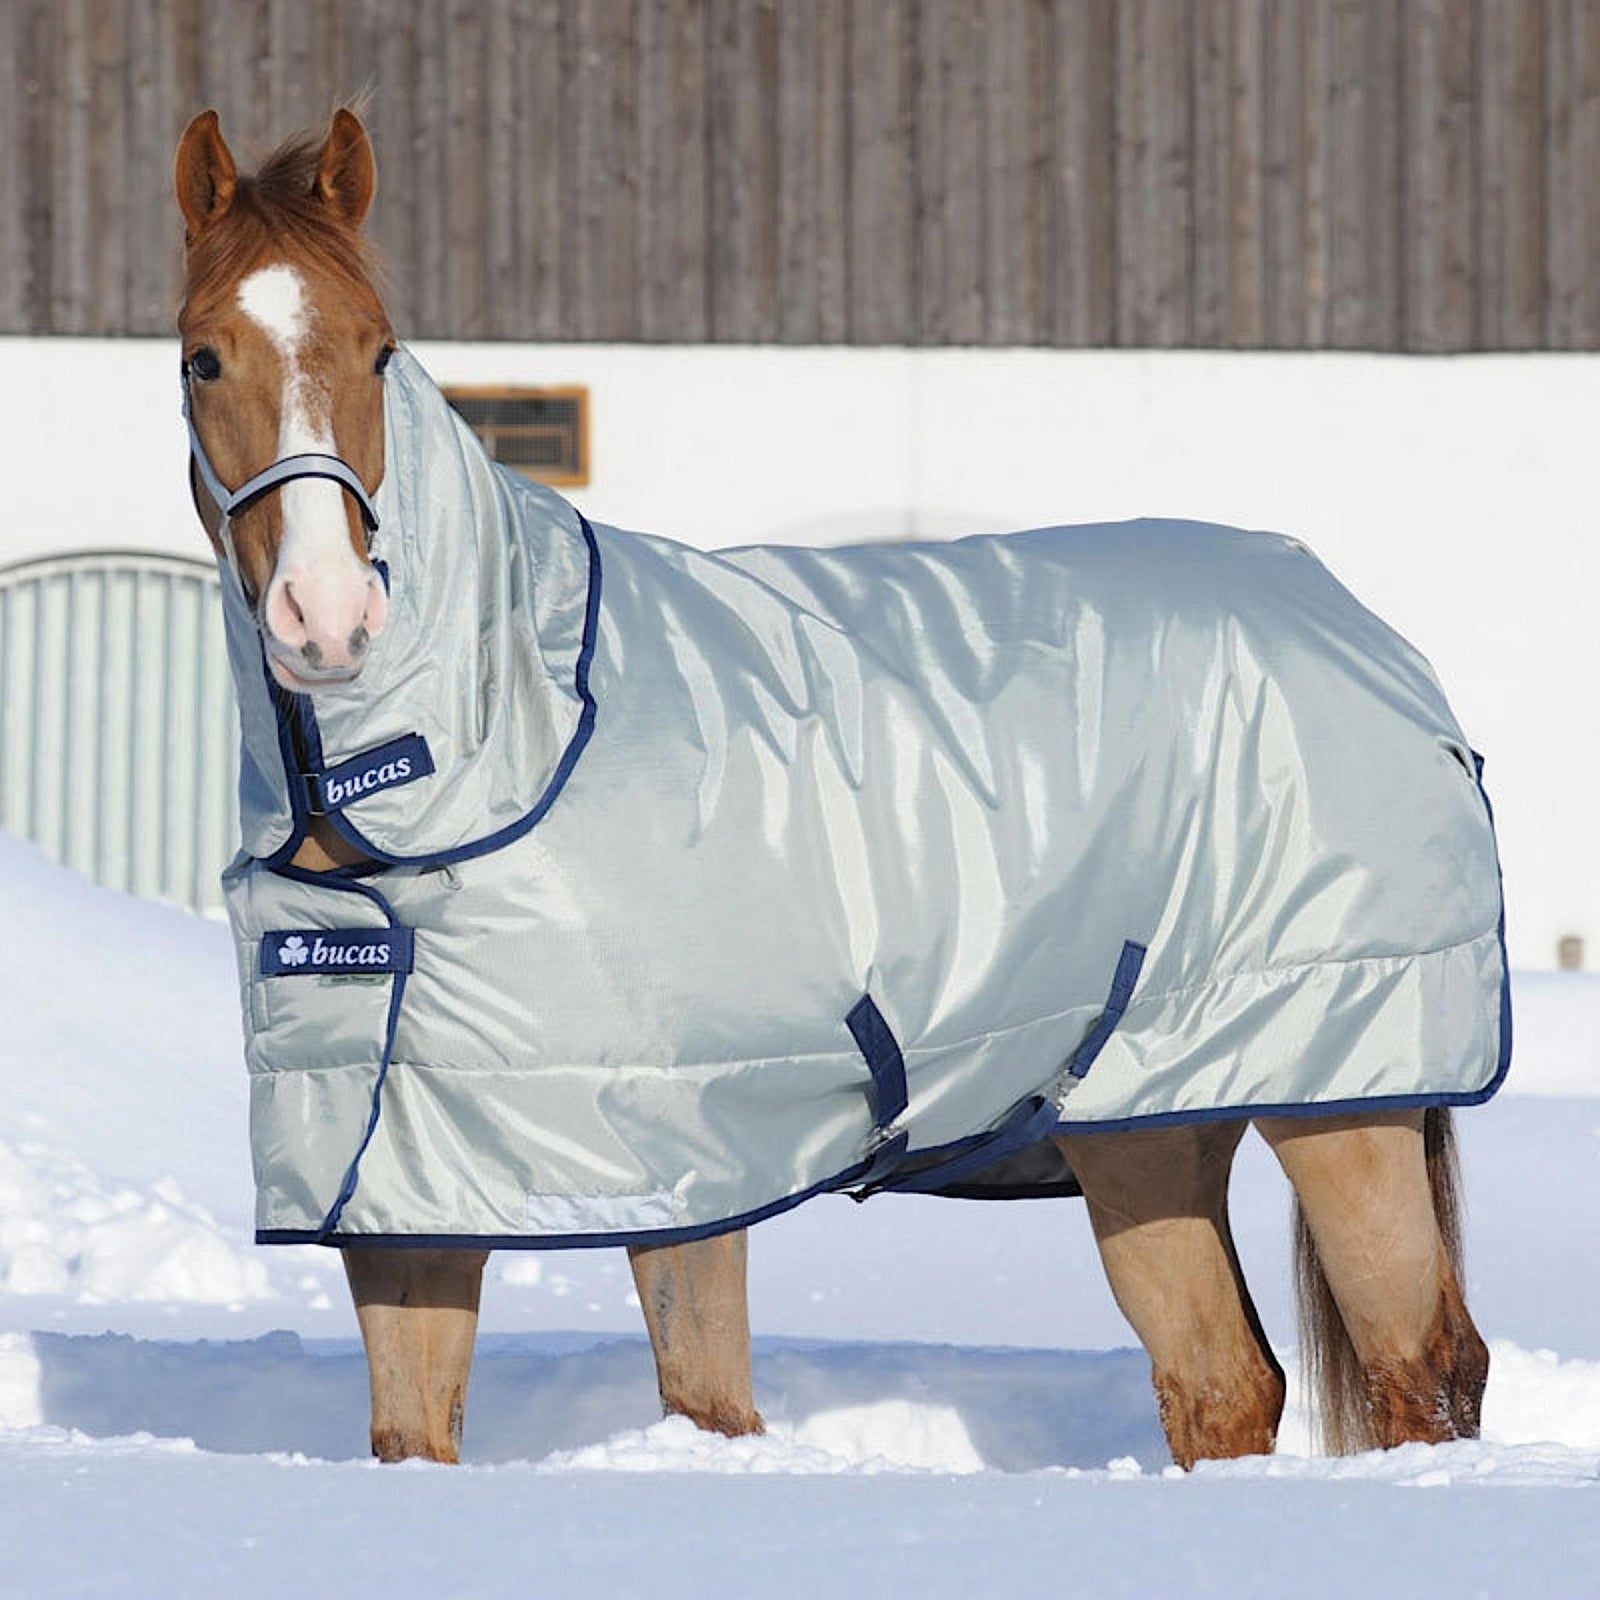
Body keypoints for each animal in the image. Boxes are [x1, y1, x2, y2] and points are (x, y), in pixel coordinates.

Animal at [175, 107, 1497, 1470]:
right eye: (201, 360)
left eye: (379, 351)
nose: (329, 619)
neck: (509, 741)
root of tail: (1365, 628)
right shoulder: (400, 1185)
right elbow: (414, 1432)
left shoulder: (688, 1158)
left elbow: (712, 1404)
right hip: (1145, 1114)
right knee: (1221, 1382)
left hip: (1342, 1095)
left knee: (1418, 1369)